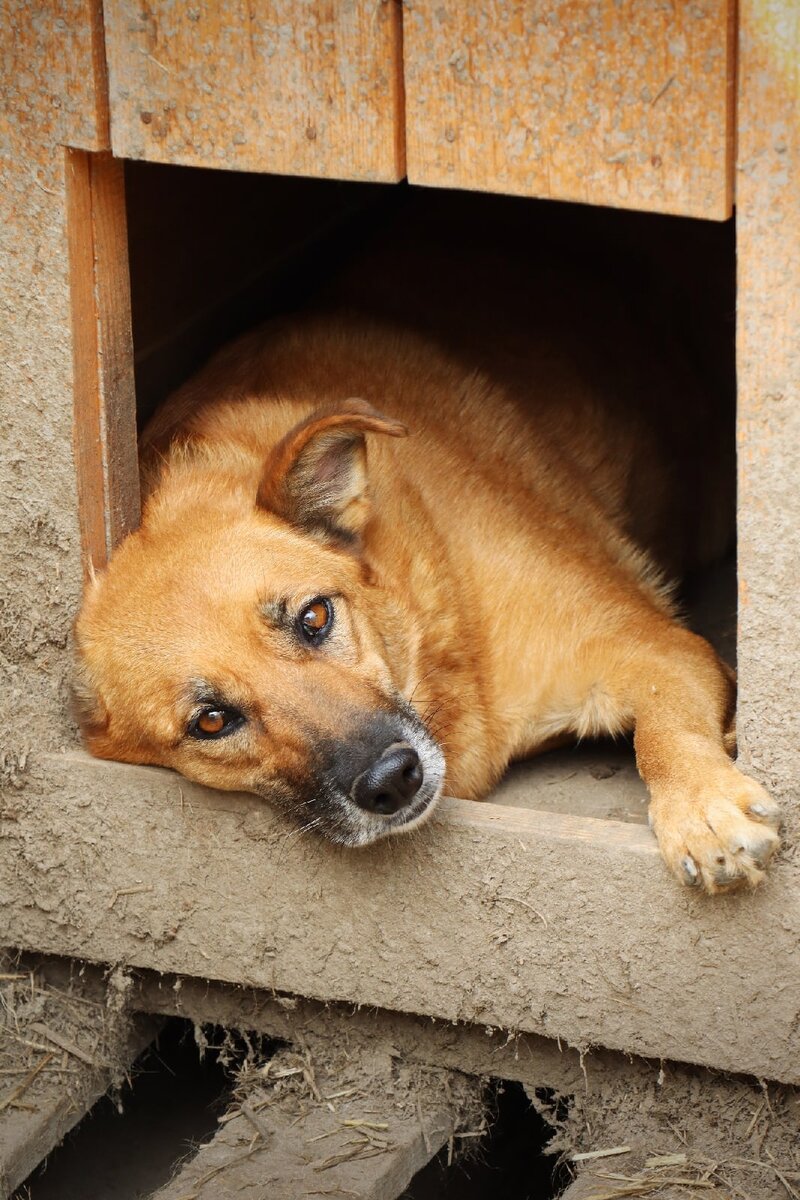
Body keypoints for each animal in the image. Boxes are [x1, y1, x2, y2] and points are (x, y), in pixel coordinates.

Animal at [73, 220, 782, 897]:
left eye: (315, 618)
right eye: (212, 721)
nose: (390, 780)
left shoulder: (654, 649)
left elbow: (661, 730)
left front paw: (702, 806)